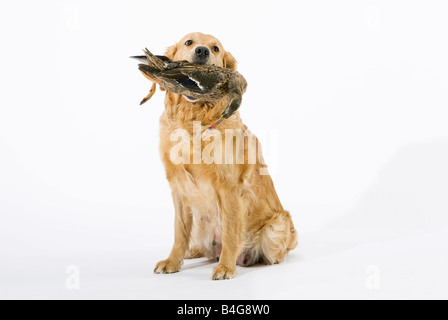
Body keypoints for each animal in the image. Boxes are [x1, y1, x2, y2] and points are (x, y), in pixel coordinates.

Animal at [154, 31, 298, 278]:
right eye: (189, 42)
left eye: (215, 48)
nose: (202, 51)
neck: (194, 121)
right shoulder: (178, 186)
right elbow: (179, 231)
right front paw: (173, 261)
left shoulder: (229, 185)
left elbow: (231, 231)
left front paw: (226, 267)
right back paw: (192, 252)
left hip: (277, 224)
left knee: (276, 251)